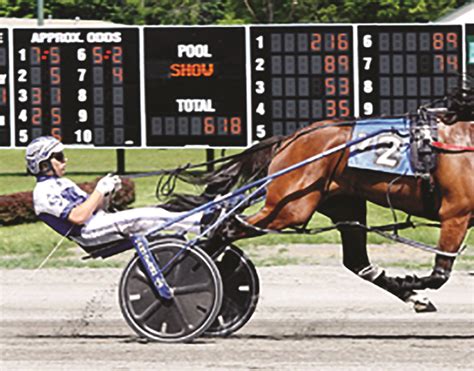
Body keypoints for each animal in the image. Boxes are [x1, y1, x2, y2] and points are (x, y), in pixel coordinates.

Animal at [161, 88, 472, 312]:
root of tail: (291, 138)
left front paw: (411, 287)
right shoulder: (455, 213)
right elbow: (439, 274)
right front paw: (408, 279)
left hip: (343, 204)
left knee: (358, 263)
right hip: (290, 207)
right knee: (227, 228)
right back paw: (173, 280)